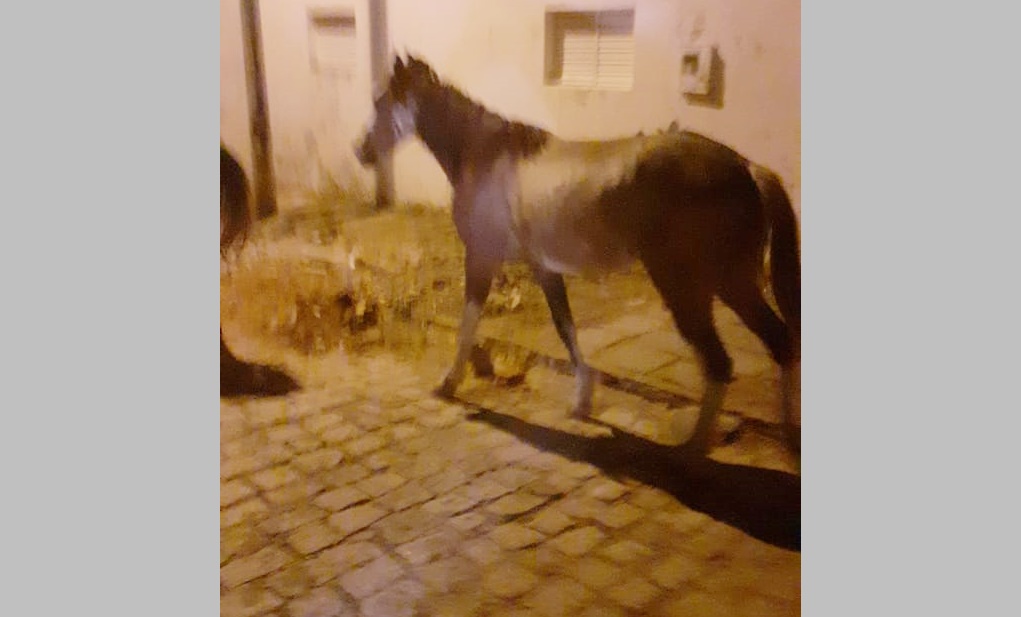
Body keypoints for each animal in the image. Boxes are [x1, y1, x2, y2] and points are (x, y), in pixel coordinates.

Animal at [354, 56, 800, 457]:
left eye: (383, 101)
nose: (361, 152)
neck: (483, 153)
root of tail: (746, 167)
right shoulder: (544, 267)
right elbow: (565, 327)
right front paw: (583, 402)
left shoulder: (481, 257)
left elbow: (469, 322)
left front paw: (449, 382)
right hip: (728, 283)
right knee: (779, 344)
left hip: (693, 286)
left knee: (721, 361)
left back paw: (692, 450)